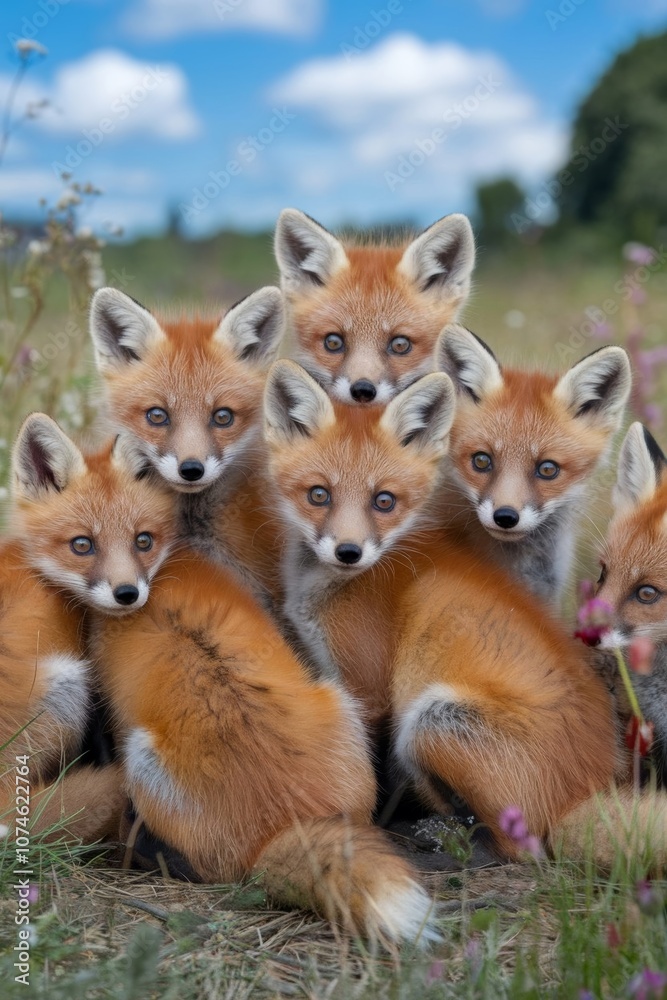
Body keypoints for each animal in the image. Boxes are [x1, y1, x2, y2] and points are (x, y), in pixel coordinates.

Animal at [262, 360, 667, 869]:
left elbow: (369, 770)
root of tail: (587, 791)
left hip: (430, 720)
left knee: (519, 847)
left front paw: (364, 825)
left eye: (384, 501)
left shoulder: (369, 691)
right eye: (319, 495)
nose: (349, 552)